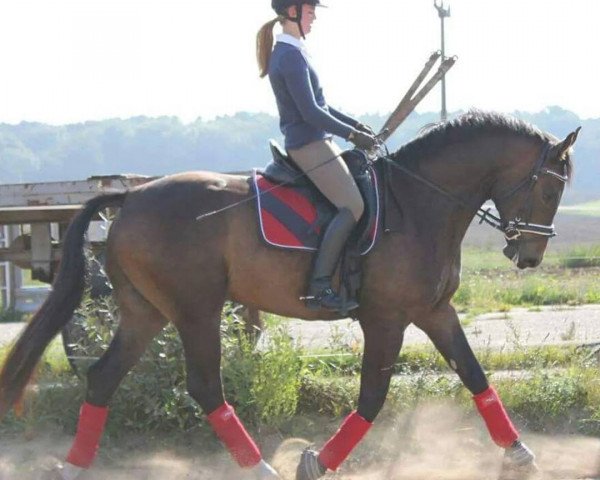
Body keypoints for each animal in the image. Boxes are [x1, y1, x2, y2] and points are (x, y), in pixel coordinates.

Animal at [0, 110, 580, 478]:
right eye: (551, 188)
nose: (529, 256)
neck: (419, 202)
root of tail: (132, 196)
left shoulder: (435, 311)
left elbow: (476, 377)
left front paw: (520, 454)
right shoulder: (387, 318)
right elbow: (373, 397)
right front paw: (316, 463)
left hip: (147, 313)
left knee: (102, 377)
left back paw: (74, 466)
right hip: (197, 310)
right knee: (205, 386)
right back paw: (259, 466)